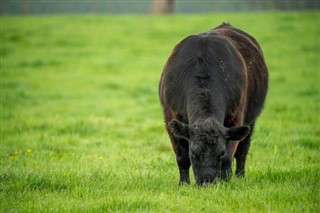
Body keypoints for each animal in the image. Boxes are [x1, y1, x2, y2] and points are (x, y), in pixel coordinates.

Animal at [159, 23, 268, 186]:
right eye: (194, 152)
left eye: (220, 153)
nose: (207, 182)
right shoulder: (170, 116)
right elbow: (182, 158)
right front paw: (183, 183)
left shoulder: (236, 118)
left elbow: (229, 157)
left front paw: (225, 182)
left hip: (251, 120)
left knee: (242, 151)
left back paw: (239, 177)